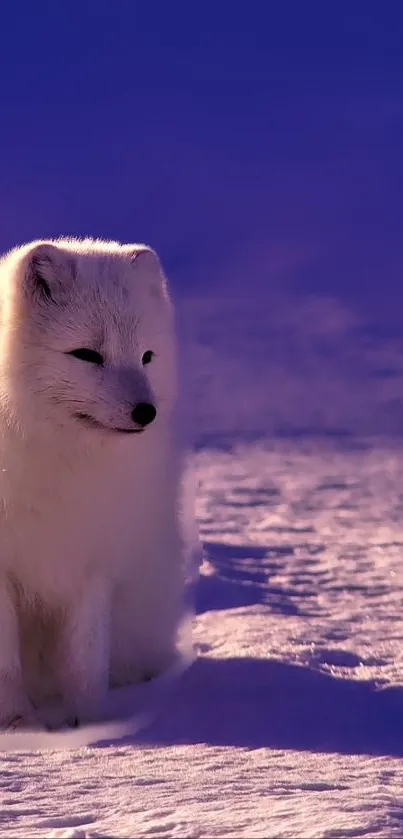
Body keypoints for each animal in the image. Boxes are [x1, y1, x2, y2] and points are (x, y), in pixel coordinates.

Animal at [0, 236, 187, 728]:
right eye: (87, 354)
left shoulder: (93, 558)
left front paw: (89, 725)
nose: (146, 412)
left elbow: (85, 660)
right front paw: (19, 723)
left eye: (146, 356)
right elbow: (6, 663)